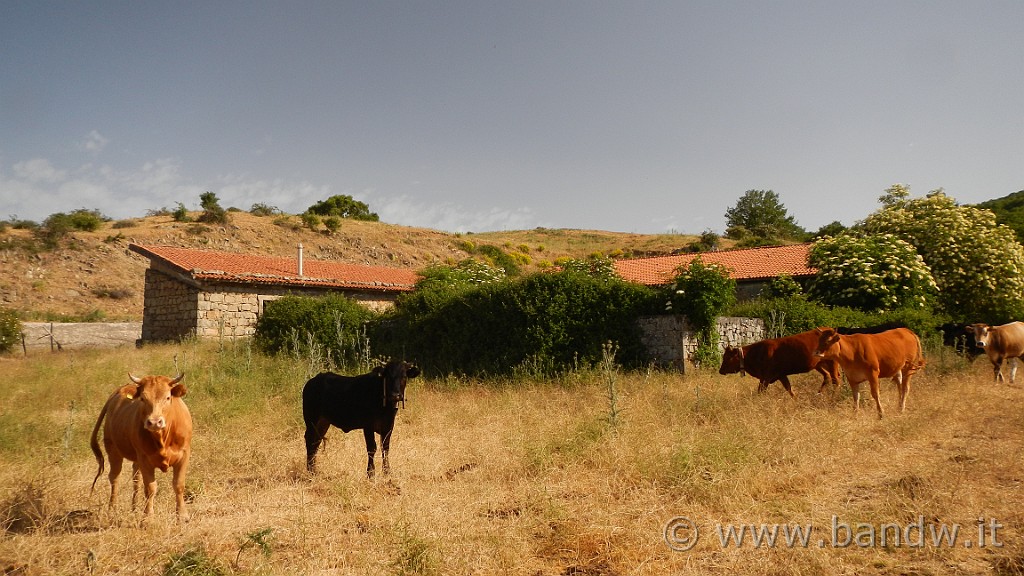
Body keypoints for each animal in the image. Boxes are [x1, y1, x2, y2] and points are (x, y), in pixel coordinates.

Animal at [91, 368, 192, 518]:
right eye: (143, 399)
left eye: (168, 397)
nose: (154, 422)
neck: (163, 438)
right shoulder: (145, 459)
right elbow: (150, 488)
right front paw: (148, 517)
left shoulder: (184, 454)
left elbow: (178, 485)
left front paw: (182, 515)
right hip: (113, 451)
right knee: (115, 477)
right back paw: (112, 509)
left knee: (135, 478)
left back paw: (134, 507)